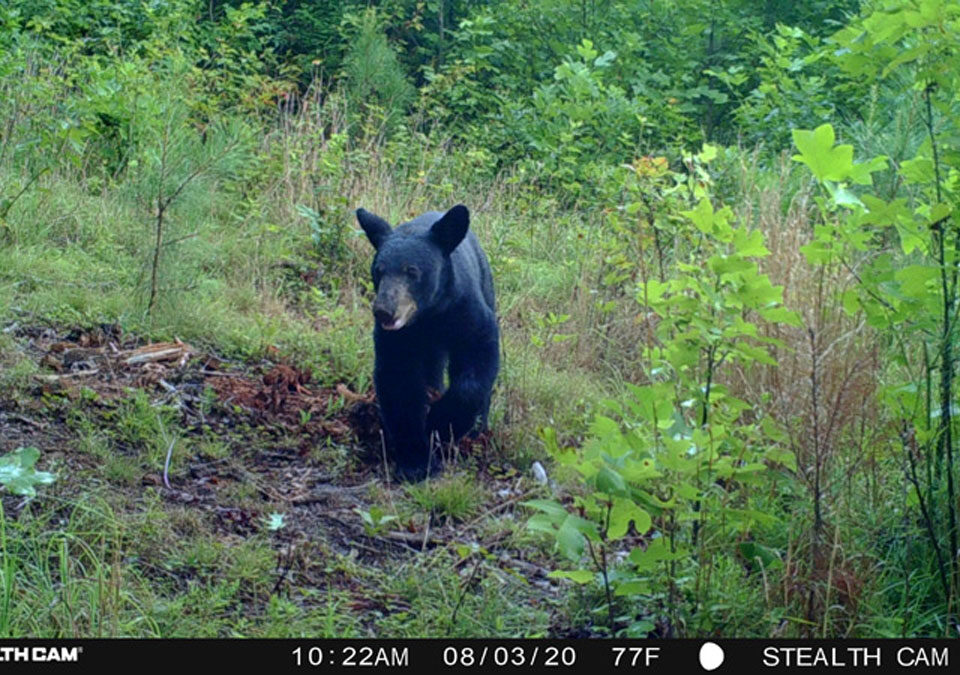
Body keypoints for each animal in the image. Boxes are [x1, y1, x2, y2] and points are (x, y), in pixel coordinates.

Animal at [356, 205, 498, 480]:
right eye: (378, 270)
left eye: (412, 271)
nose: (383, 311)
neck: (429, 315)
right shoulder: (397, 338)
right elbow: (399, 383)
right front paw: (415, 461)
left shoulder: (467, 312)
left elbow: (478, 360)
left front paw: (441, 424)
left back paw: (478, 429)